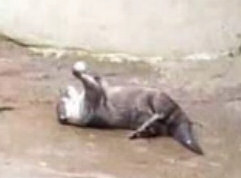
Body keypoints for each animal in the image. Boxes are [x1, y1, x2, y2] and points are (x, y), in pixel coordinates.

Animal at [56, 62, 203, 155]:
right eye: (64, 100)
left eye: (64, 94)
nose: (64, 90)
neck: (80, 107)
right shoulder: (90, 104)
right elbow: (91, 85)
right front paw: (78, 71)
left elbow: (99, 83)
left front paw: (96, 76)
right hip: (158, 98)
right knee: (160, 115)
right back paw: (140, 130)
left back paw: (140, 131)